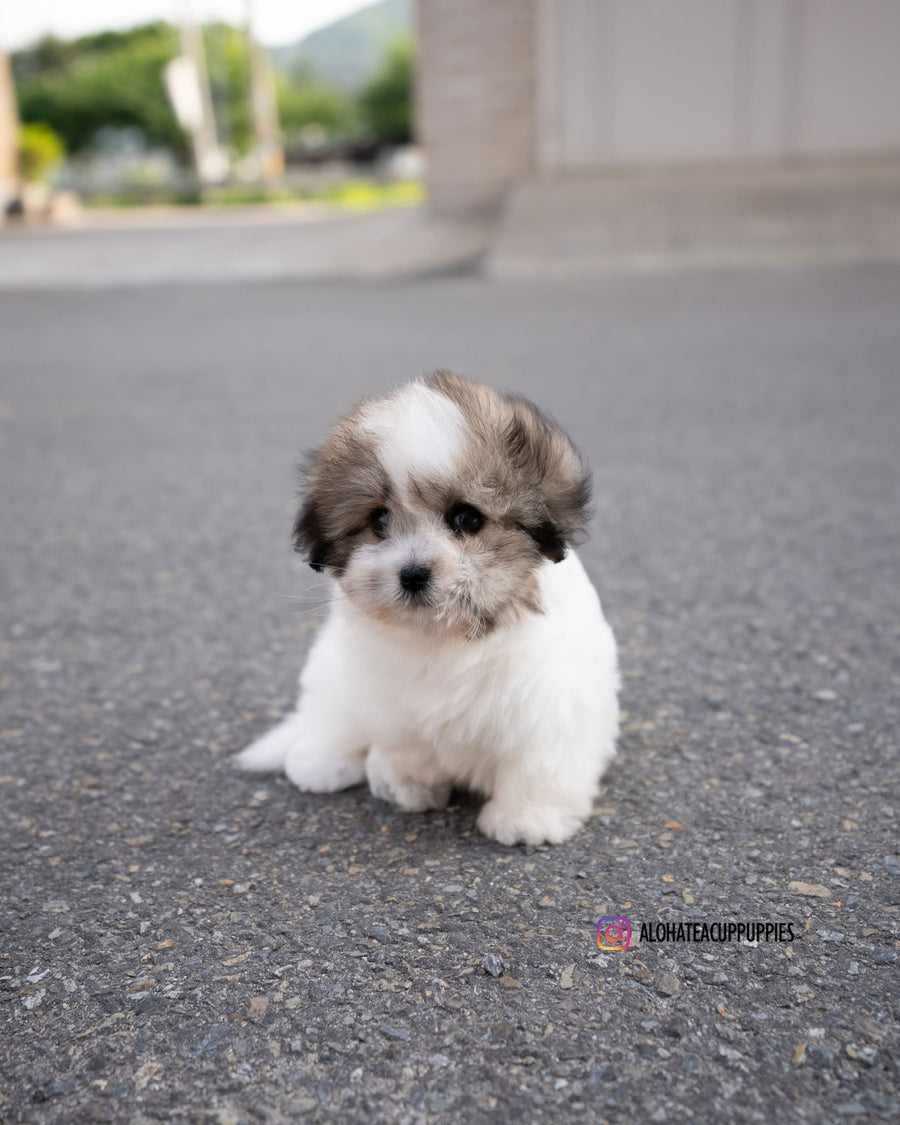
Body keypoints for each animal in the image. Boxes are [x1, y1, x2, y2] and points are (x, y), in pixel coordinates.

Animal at [235, 371, 621, 846]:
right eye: (378, 521)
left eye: (466, 518)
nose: (414, 573)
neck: (448, 636)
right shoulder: (391, 702)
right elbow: (410, 745)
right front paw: (410, 785)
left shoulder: (550, 704)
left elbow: (539, 763)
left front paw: (528, 816)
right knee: (331, 712)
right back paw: (324, 760)